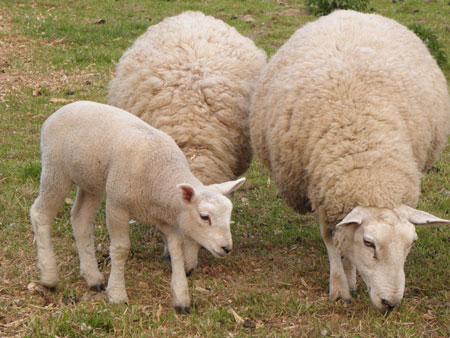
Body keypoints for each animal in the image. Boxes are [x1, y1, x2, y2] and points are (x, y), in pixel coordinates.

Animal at [30, 101, 246, 314]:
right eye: (204, 217)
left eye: (229, 216)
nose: (226, 248)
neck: (161, 175)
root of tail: (60, 111)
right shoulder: (117, 206)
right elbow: (120, 249)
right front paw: (117, 294)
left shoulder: (167, 220)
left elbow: (177, 251)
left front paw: (181, 298)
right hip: (56, 171)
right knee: (40, 214)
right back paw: (49, 276)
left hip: (90, 181)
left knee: (80, 219)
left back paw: (92, 277)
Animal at [250, 9, 450, 312]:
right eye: (369, 243)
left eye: (411, 243)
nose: (390, 303)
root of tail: (346, 12)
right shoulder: (323, 195)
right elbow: (332, 241)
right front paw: (340, 288)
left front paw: (351, 276)